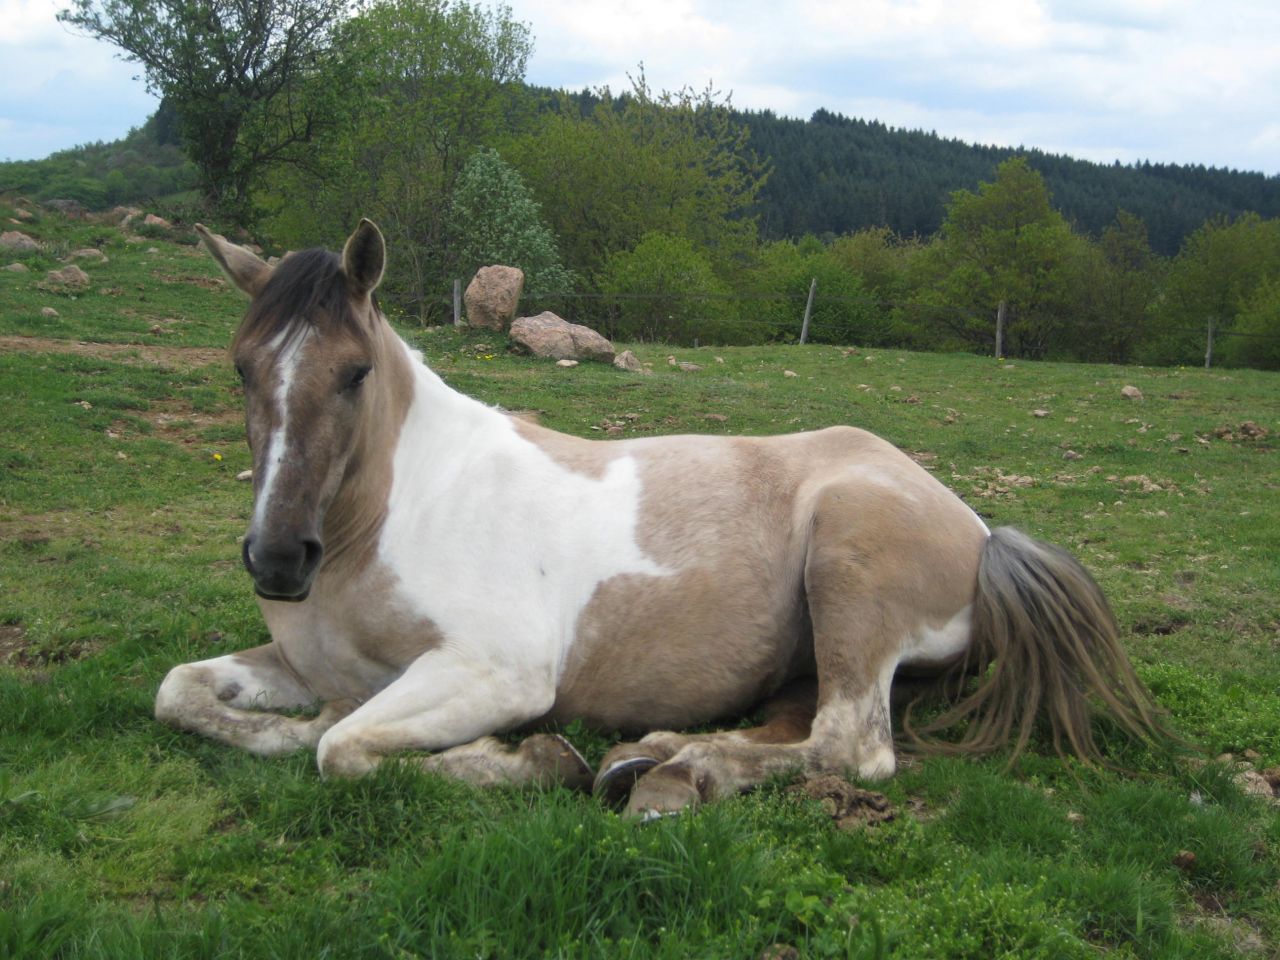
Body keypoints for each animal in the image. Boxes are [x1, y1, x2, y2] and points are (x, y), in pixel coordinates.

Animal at [155, 219, 1166, 816]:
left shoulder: (493, 672)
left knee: (848, 746)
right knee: (800, 726)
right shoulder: (302, 665)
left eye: (356, 372)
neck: (393, 517)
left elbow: (343, 747)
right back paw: (653, 759)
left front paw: (529, 761)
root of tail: (983, 534)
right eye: (241, 366)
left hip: (848, 574)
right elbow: (188, 694)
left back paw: (676, 771)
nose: (278, 560)